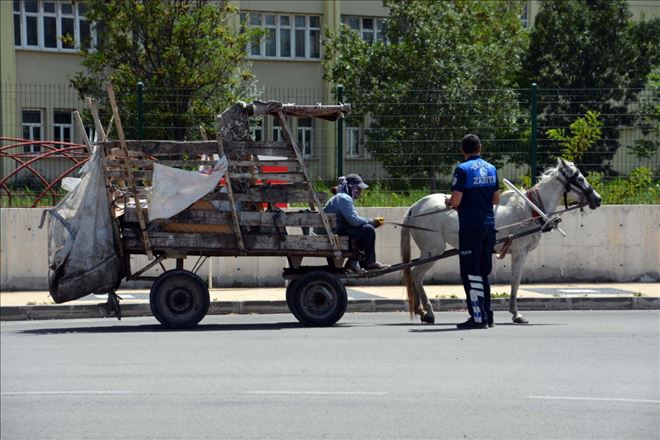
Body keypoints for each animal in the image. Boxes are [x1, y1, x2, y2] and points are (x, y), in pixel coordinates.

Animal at [402, 158, 604, 324]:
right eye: (579, 179)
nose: (598, 199)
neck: (530, 210)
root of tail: (415, 207)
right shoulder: (520, 252)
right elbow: (515, 282)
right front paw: (516, 314)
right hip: (433, 251)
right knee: (416, 276)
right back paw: (428, 312)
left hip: (428, 252)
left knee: (414, 275)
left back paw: (421, 310)